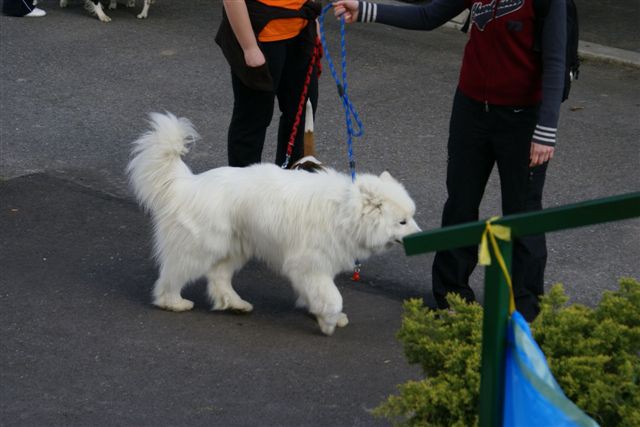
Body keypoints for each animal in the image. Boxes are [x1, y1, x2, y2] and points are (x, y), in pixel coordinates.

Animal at [128, 115, 422, 336]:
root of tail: (188, 185)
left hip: (236, 248)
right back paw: (173, 302)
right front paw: (328, 322)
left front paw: (322, 315)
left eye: (412, 216)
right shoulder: (309, 264)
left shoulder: (314, 268)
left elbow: (319, 295)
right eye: (402, 221)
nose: (421, 236)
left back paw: (235, 304)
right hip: (200, 250)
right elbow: (333, 297)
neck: (345, 212)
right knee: (173, 275)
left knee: (218, 277)